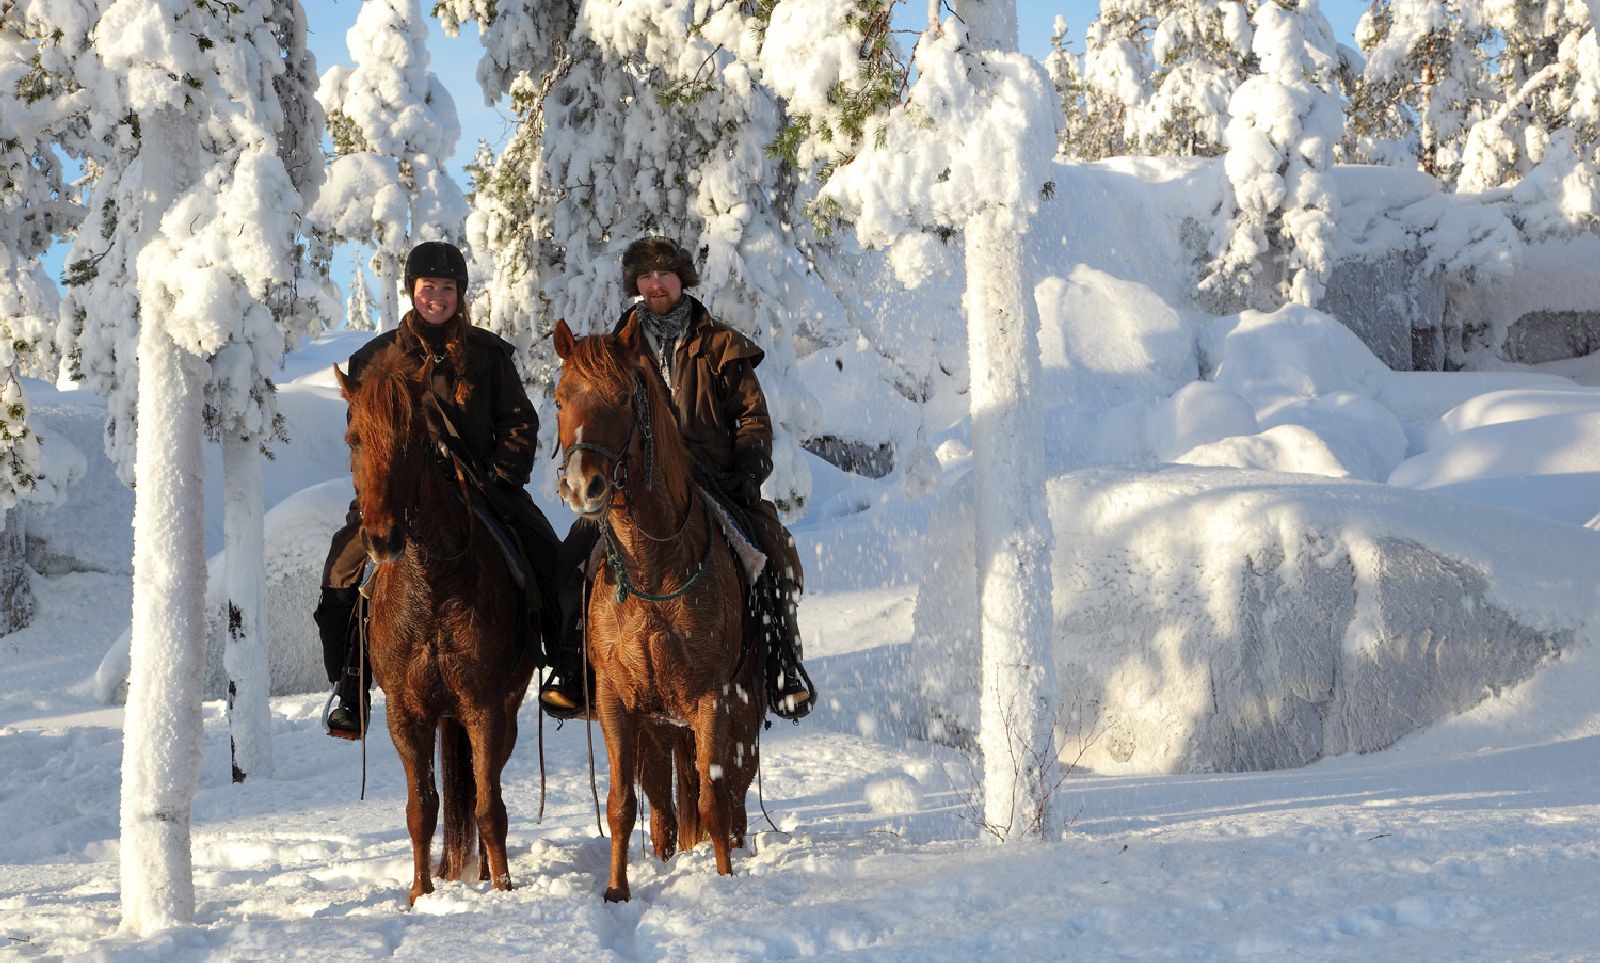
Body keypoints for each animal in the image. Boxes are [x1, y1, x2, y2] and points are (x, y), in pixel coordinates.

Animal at [552, 315, 763, 903]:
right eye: (559, 398)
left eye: (625, 397)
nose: (583, 486)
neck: (652, 568)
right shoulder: (618, 706)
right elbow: (622, 805)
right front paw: (616, 891)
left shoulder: (712, 700)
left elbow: (715, 802)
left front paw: (723, 883)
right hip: (658, 730)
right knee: (665, 810)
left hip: (740, 717)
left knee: (735, 796)